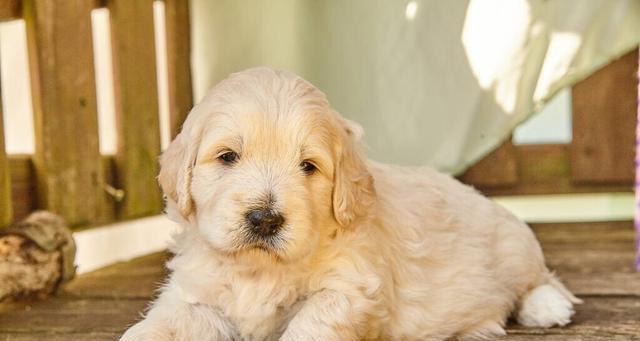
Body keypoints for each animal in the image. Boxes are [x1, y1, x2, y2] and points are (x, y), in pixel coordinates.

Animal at [120, 67, 580, 340]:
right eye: (228, 156)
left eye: (308, 166)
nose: (265, 219)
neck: (260, 269)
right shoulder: (196, 294)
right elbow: (162, 326)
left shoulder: (351, 289)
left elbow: (311, 324)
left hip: (514, 244)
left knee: (539, 279)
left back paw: (546, 306)